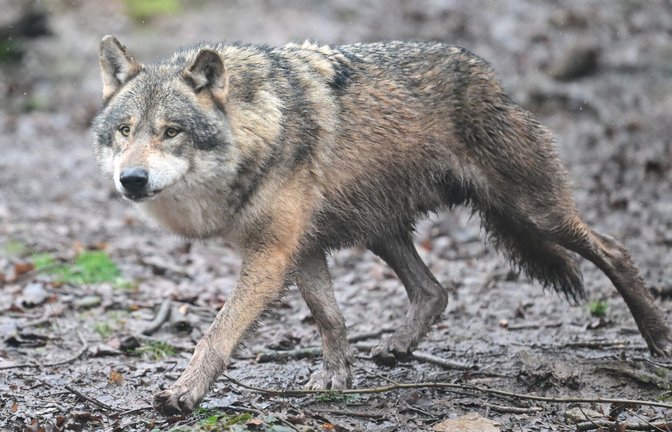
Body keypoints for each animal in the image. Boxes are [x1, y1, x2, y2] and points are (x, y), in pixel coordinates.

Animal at [92, 35, 672, 415]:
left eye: (171, 131)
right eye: (125, 130)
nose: (132, 179)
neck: (258, 129)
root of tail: (489, 76)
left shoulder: (272, 254)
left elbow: (217, 333)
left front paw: (183, 393)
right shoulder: (301, 249)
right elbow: (330, 318)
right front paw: (335, 377)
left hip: (534, 213)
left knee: (614, 249)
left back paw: (658, 338)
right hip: (380, 230)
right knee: (435, 290)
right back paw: (397, 346)